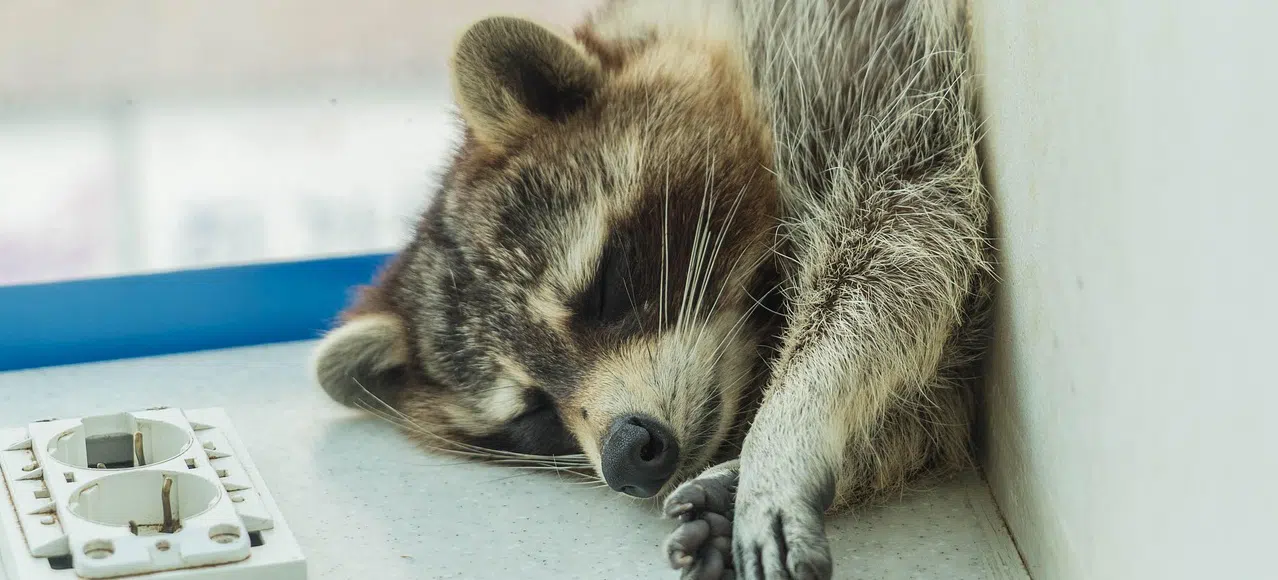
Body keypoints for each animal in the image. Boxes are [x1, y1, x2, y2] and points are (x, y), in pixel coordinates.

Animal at [311, 0, 992, 578]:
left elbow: (905, 236)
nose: (624, 453)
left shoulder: (863, 71)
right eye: (533, 413)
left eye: (604, 290)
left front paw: (788, 429)